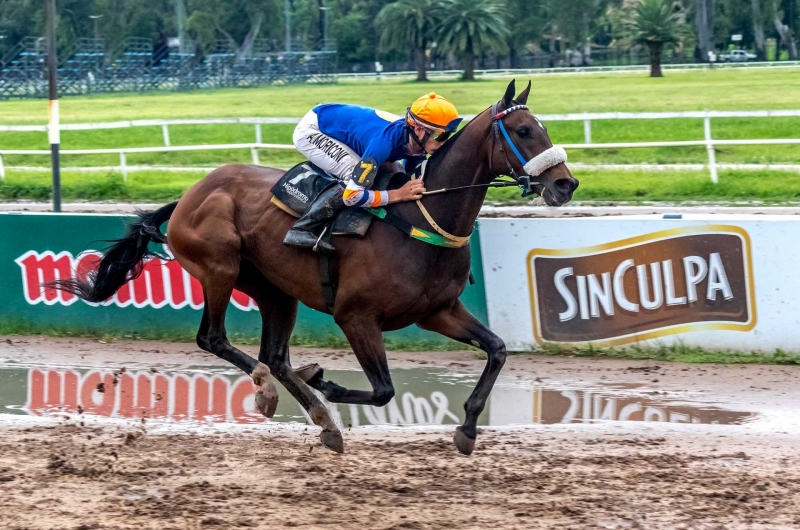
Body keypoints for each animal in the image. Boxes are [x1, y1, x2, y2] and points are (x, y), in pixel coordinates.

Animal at [56, 79, 580, 454]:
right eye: (524, 131)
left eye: (544, 128)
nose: (565, 185)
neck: (422, 217)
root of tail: (188, 195)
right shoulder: (356, 316)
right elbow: (383, 390)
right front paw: (324, 380)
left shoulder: (438, 311)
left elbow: (497, 350)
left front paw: (468, 428)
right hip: (219, 268)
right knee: (216, 340)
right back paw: (269, 393)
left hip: (275, 290)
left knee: (276, 357)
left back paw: (322, 419)